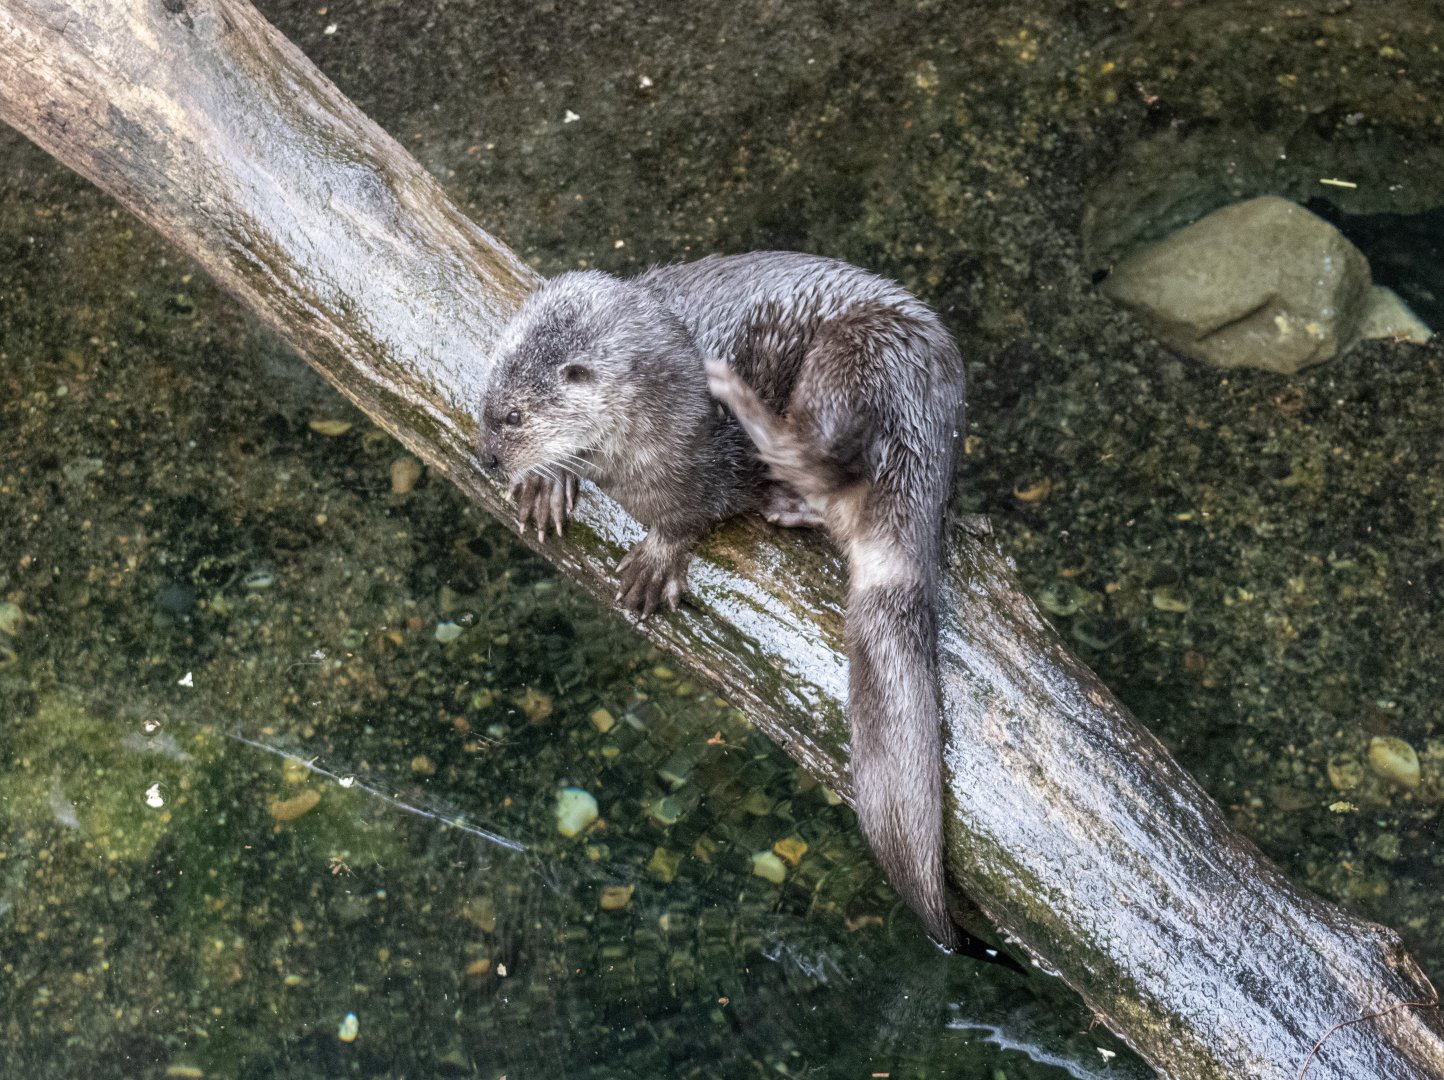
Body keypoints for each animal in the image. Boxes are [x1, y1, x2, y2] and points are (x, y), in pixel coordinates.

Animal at [478, 252, 966, 949]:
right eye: (485, 401)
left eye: (515, 416)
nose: (486, 458)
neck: (665, 413)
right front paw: (548, 484)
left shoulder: (702, 462)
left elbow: (692, 512)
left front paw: (657, 558)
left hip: (866, 358)